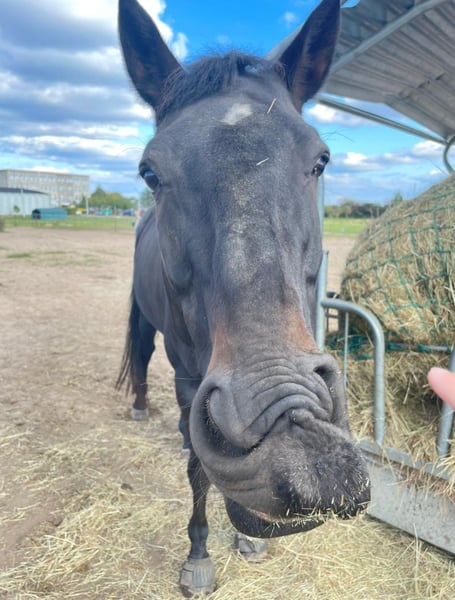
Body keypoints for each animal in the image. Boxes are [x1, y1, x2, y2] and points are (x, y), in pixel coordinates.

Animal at [116, 0, 370, 595]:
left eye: (321, 160)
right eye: (150, 172)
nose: (302, 451)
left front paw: (248, 537)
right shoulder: (190, 377)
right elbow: (197, 473)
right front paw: (198, 557)